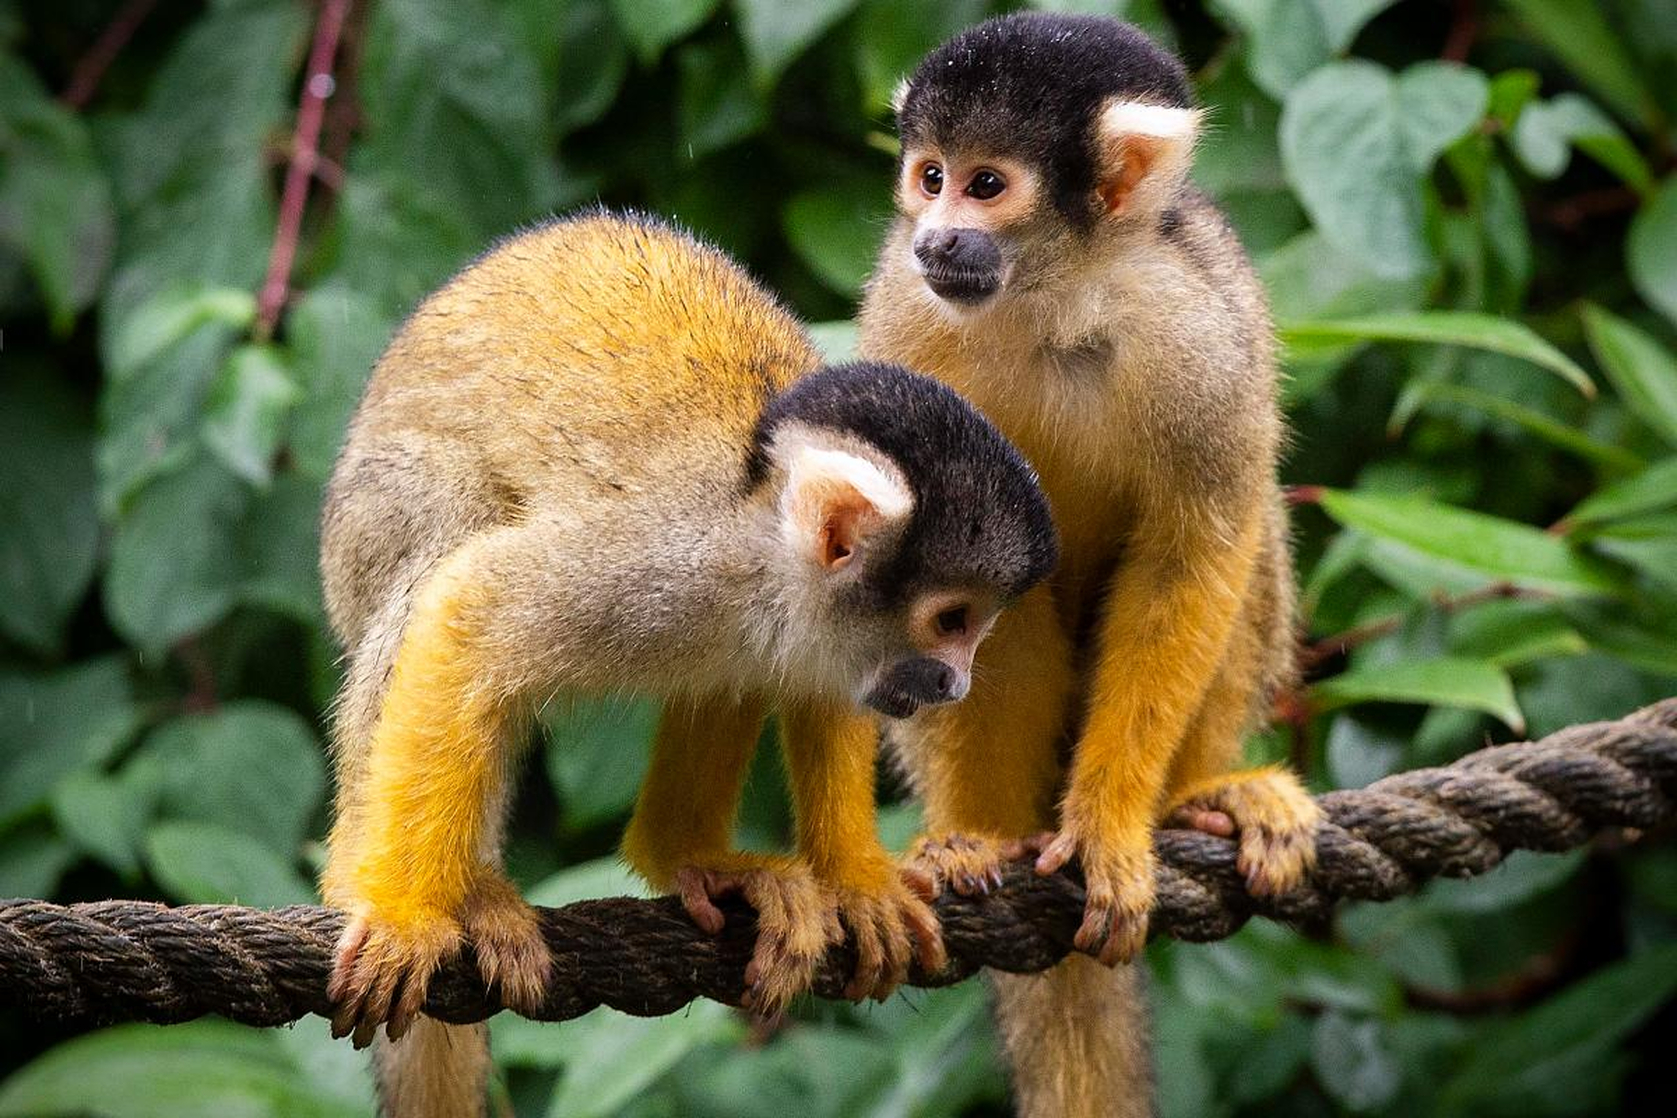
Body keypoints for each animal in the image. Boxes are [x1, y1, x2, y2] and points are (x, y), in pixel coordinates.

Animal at [319, 210, 1059, 1117]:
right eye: (951, 620)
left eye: (977, 628)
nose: (954, 682)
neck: (763, 546)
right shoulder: (662, 568)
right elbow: (470, 603)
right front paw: (400, 915)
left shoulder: (816, 633)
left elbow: (807, 690)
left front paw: (856, 882)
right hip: (363, 526)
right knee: (447, 532)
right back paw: (411, 886)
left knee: (727, 669)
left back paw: (684, 854)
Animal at [857, 14, 1322, 1118]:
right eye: (929, 176)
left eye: (986, 185)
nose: (934, 236)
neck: (1054, 301)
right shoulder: (905, 311)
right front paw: (975, 834)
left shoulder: (1198, 330)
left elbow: (1196, 543)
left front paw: (1110, 824)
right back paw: (984, 829)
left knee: (1246, 533)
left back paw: (1200, 794)